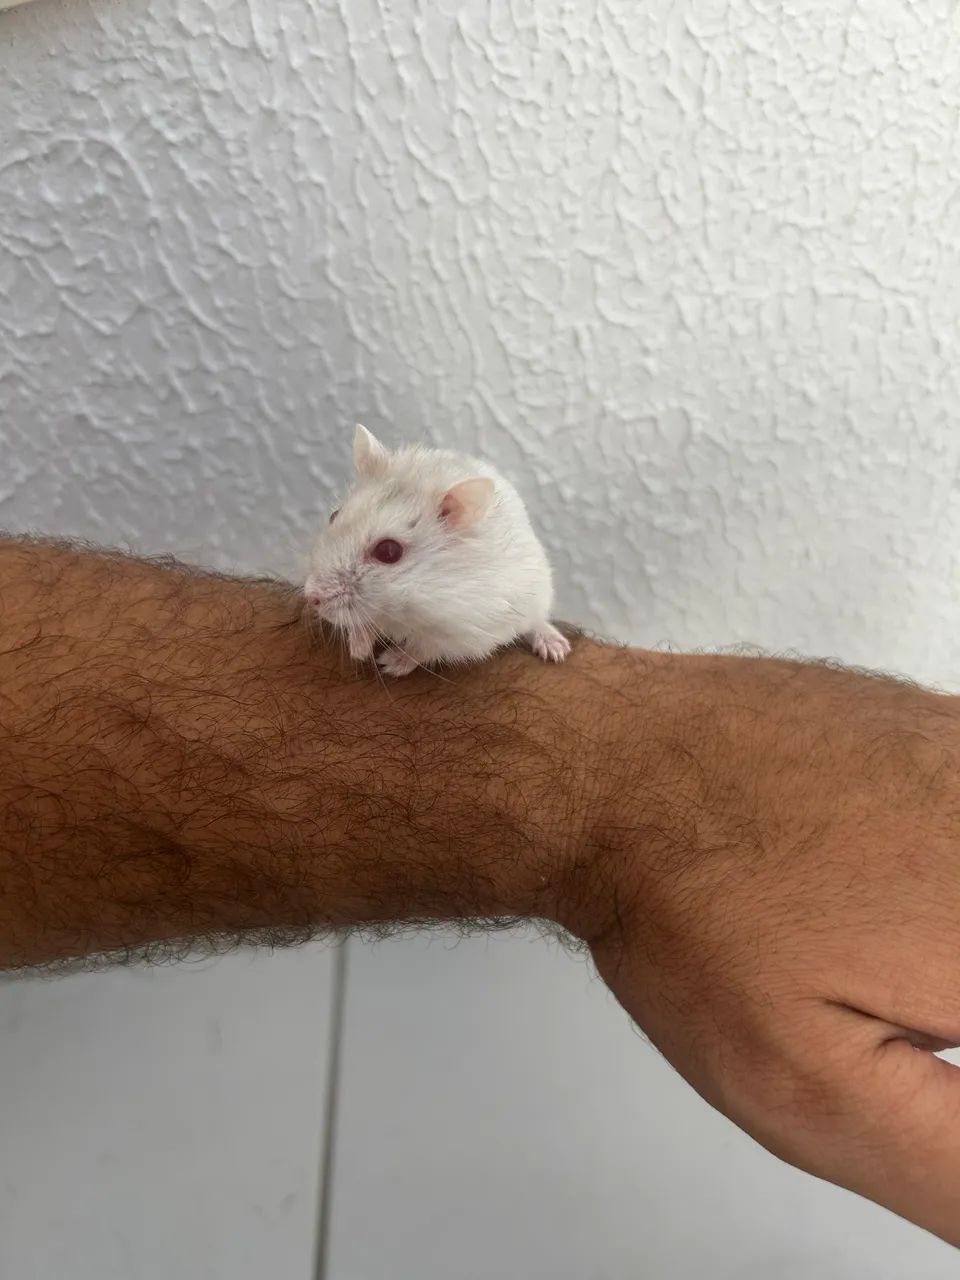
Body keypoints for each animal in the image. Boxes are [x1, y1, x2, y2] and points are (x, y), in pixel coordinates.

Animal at [304, 425, 571, 678]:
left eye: (388, 551)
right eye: (333, 516)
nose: (311, 597)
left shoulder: (461, 635)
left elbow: (421, 649)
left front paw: (389, 664)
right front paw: (359, 651)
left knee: (538, 622)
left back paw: (556, 649)